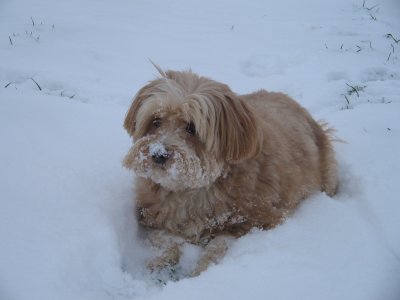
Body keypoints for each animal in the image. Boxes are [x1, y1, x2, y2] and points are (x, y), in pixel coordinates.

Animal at [122, 67, 338, 276]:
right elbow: (168, 239)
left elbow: (219, 244)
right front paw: (162, 260)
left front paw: (202, 270)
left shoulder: (260, 221)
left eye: (191, 127)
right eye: (156, 121)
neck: (193, 190)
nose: (158, 154)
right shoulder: (151, 216)